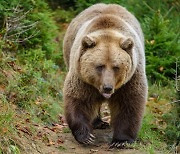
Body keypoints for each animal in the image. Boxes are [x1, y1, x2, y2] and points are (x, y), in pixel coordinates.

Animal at [63, 3, 148, 148]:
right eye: (100, 66)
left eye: (116, 67)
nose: (107, 87)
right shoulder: (81, 76)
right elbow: (78, 98)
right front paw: (86, 136)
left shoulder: (131, 77)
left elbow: (130, 102)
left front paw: (120, 140)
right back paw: (99, 122)